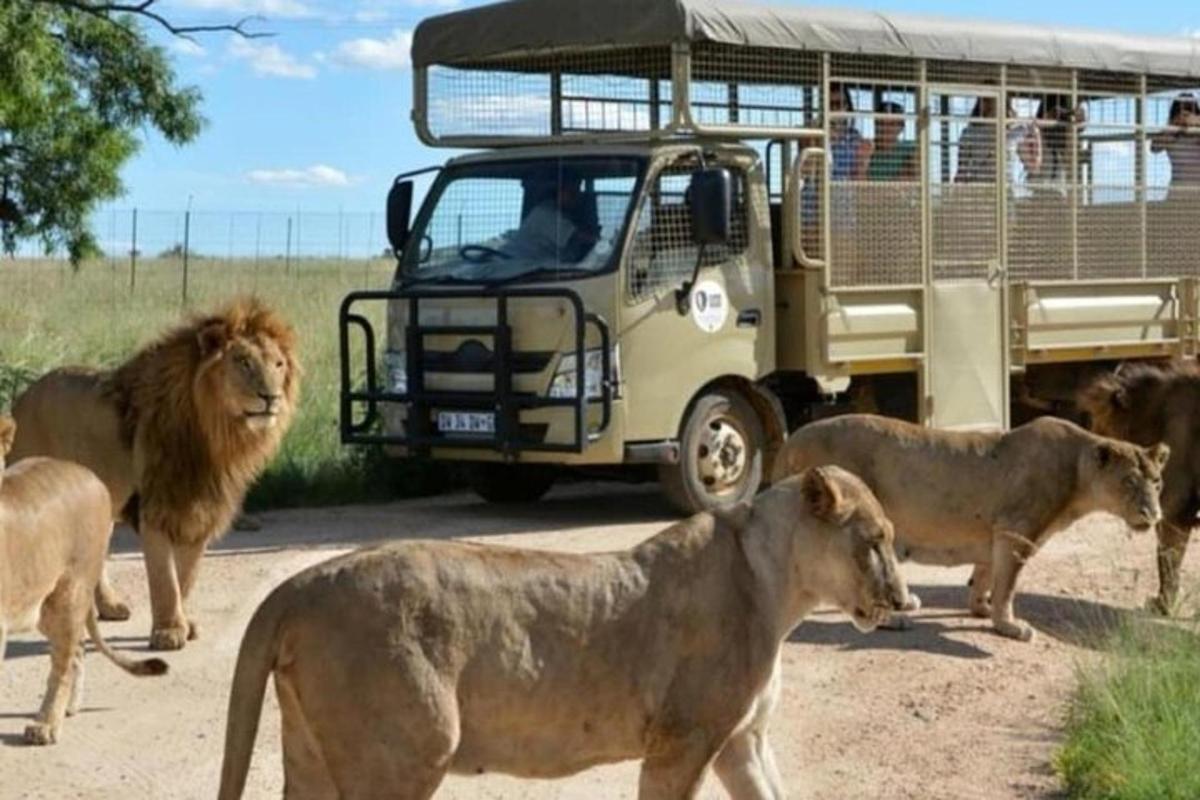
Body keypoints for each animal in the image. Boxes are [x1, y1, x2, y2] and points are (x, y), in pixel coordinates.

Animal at [0, 417, 166, 748]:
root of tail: (89, 474)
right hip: (46, 606)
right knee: (76, 651)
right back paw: (68, 709)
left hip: (69, 593)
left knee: (64, 662)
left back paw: (47, 724)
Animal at [11, 298, 300, 652]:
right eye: (243, 362)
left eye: (278, 365)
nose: (271, 397)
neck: (216, 436)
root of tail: (22, 398)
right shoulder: (155, 508)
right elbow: (165, 578)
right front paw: (168, 632)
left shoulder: (200, 510)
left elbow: (186, 577)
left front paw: (185, 624)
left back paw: (109, 607)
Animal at [218, 470, 907, 800]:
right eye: (875, 540)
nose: (905, 600)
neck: (779, 587)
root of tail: (298, 584)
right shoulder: (683, 741)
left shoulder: (740, 741)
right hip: (407, 751)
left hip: (311, 752)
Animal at [772, 417, 1166, 642]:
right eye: (1129, 482)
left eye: (1157, 482)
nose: (1154, 514)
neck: (1078, 472)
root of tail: (790, 441)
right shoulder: (1016, 532)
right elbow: (1008, 585)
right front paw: (1009, 626)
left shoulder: (994, 534)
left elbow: (986, 576)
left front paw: (981, 609)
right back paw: (895, 619)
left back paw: (907, 602)